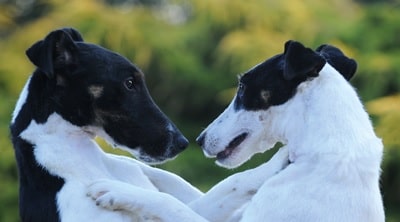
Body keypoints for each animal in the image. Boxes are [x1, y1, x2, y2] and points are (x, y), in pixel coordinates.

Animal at [86, 40, 384, 222]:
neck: (319, 156)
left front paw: (116, 190)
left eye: (242, 87)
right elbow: (225, 182)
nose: (200, 140)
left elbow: (169, 203)